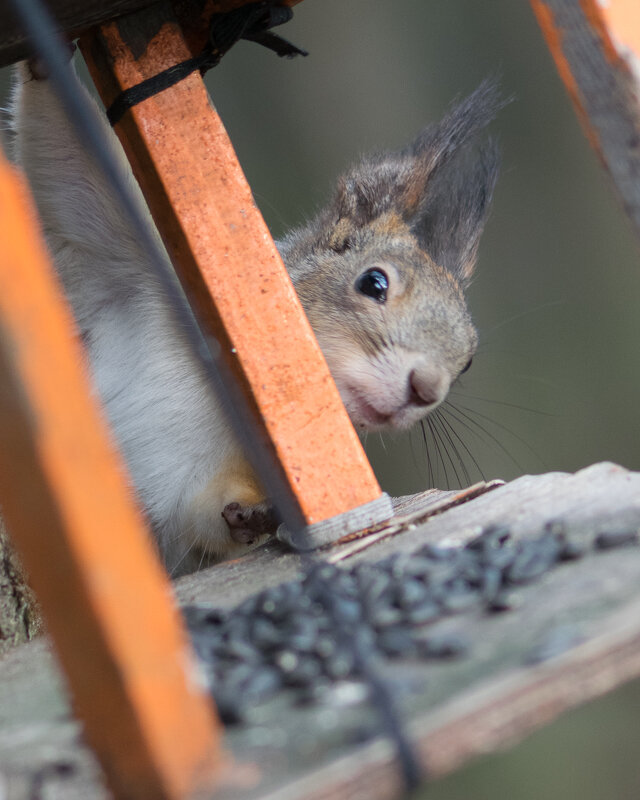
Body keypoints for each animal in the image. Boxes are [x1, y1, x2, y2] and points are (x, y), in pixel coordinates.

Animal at [8, 61, 500, 576]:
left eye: (467, 360)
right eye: (374, 283)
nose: (426, 389)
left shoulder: (204, 490)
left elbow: (203, 518)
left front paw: (257, 514)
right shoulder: (139, 280)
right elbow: (74, 172)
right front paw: (42, 65)